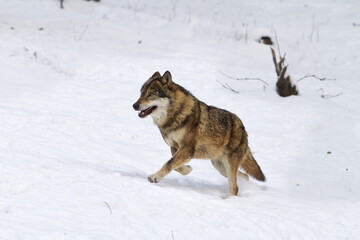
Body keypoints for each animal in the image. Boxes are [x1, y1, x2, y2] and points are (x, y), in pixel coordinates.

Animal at [132, 71, 264, 195]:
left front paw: (155, 177)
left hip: (228, 165)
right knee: (244, 177)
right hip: (220, 167)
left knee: (234, 188)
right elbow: (176, 166)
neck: (175, 114)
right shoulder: (175, 148)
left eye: (151, 95)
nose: (134, 105)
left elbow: (168, 164)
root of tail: (243, 128)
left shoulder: (187, 149)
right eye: (141, 93)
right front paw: (188, 169)